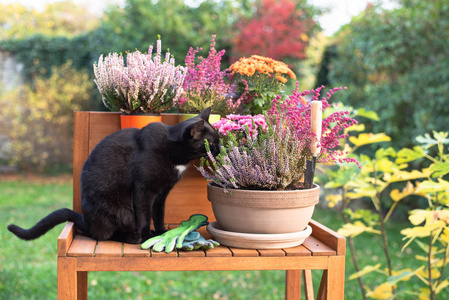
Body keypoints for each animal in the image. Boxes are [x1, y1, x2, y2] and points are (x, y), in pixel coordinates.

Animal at [7, 108, 220, 244]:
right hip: (119, 209)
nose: (219, 149)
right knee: (103, 235)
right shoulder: (143, 189)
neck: (172, 150)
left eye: (218, 139)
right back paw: (132, 237)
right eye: (211, 143)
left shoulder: (162, 193)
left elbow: (159, 214)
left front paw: (161, 232)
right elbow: (144, 215)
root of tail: (86, 221)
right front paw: (148, 236)